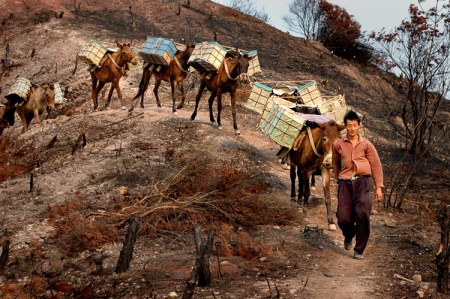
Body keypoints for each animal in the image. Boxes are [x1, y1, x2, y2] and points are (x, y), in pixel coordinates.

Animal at [244, 79, 364, 230]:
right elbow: (306, 191)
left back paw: (299, 201)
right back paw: (294, 198)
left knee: (300, 181)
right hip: (295, 163)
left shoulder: (324, 172)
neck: (319, 154)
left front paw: (331, 222)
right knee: (294, 178)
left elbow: (327, 196)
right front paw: (305, 213)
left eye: (338, 140)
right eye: (324, 139)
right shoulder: (306, 170)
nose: (329, 161)